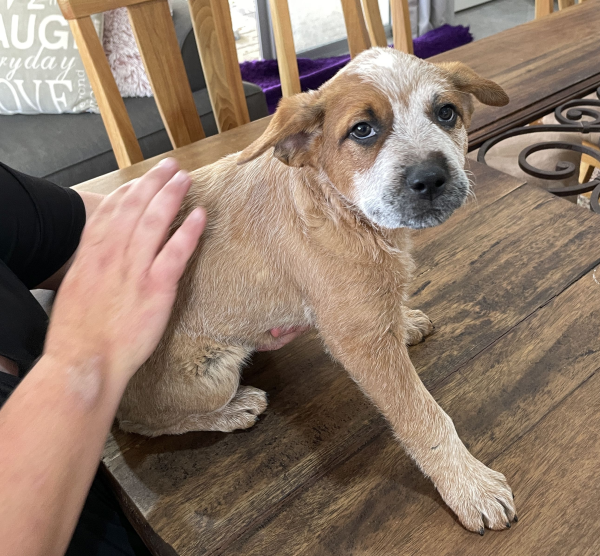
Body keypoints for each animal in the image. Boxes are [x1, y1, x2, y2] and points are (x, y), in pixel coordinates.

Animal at [118, 47, 516, 536]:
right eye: (362, 130)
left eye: (446, 113)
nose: (431, 178)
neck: (344, 213)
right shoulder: (360, 343)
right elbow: (424, 417)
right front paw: (469, 486)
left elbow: (389, 307)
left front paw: (404, 321)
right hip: (213, 372)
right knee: (140, 424)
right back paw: (233, 410)